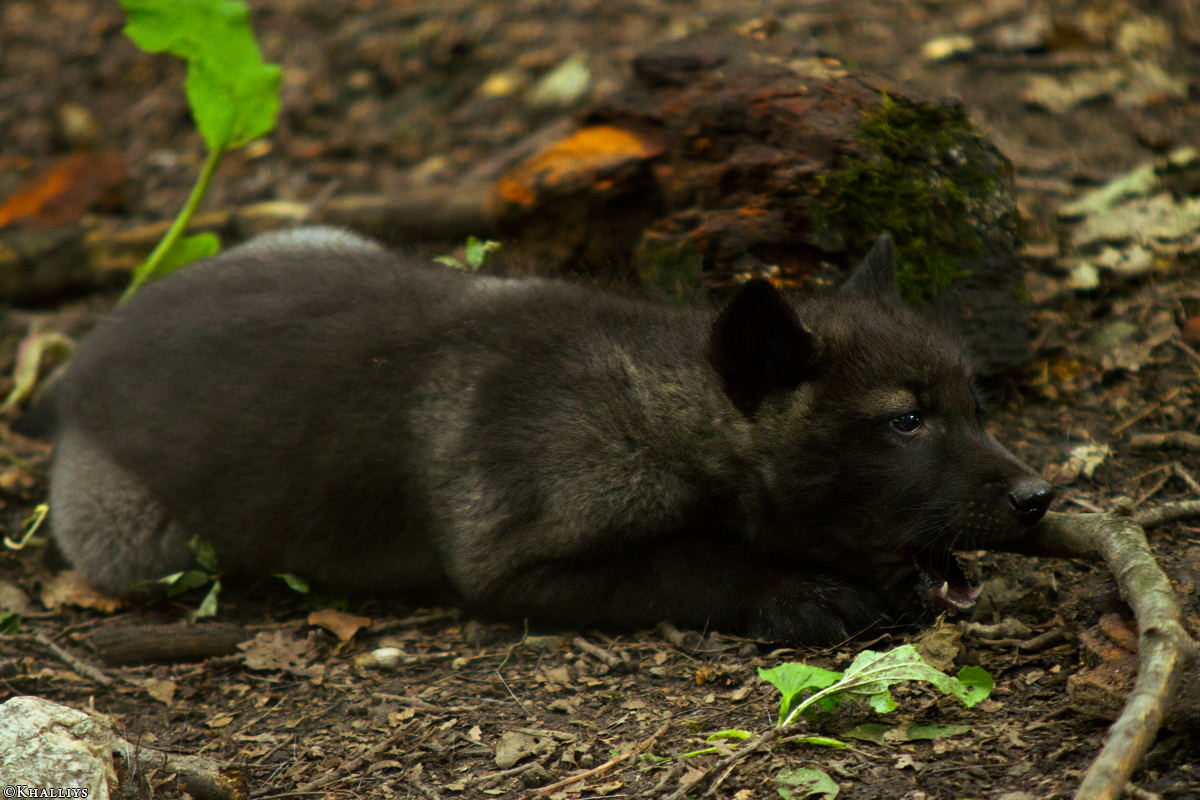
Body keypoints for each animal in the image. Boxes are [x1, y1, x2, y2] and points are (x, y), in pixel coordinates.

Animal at [33, 227, 1053, 644]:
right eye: (905, 421)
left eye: (975, 408)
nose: (1043, 498)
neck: (665, 411)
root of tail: (81, 363)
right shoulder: (517, 567)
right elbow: (685, 563)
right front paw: (792, 593)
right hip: (138, 543)